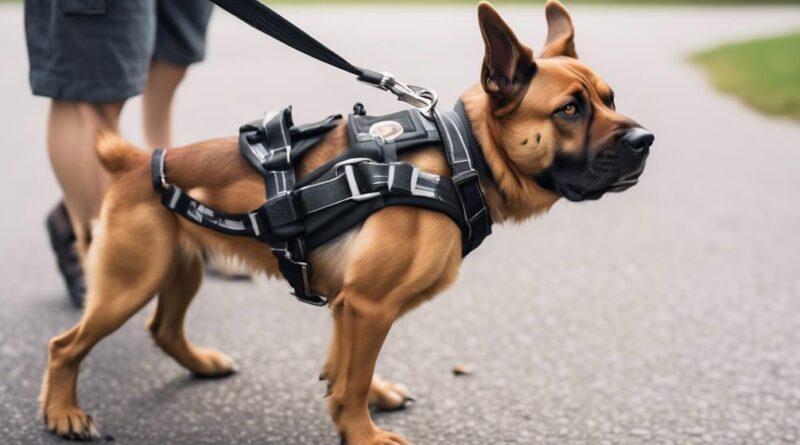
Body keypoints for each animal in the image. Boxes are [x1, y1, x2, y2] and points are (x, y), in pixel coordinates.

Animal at [40, 1, 652, 442]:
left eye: (610, 98)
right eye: (569, 110)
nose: (646, 140)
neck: (463, 155)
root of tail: (135, 160)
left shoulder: (347, 306)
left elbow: (343, 370)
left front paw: (362, 399)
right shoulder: (368, 305)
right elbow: (351, 383)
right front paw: (363, 433)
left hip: (180, 267)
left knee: (164, 329)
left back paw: (200, 364)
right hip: (130, 281)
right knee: (65, 346)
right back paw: (64, 411)